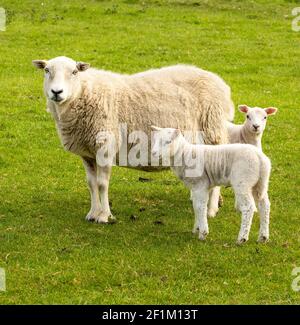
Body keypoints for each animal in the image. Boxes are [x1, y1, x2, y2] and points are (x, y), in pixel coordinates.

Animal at [32, 55, 234, 223]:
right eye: (46, 70)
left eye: (74, 72)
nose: (56, 92)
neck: (83, 92)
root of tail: (221, 84)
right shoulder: (87, 153)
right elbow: (91, 184)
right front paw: (92, 213)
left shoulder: (105, 145)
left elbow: (102, 184)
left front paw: (104, 216)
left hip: (212, 130)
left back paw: (211, 209)